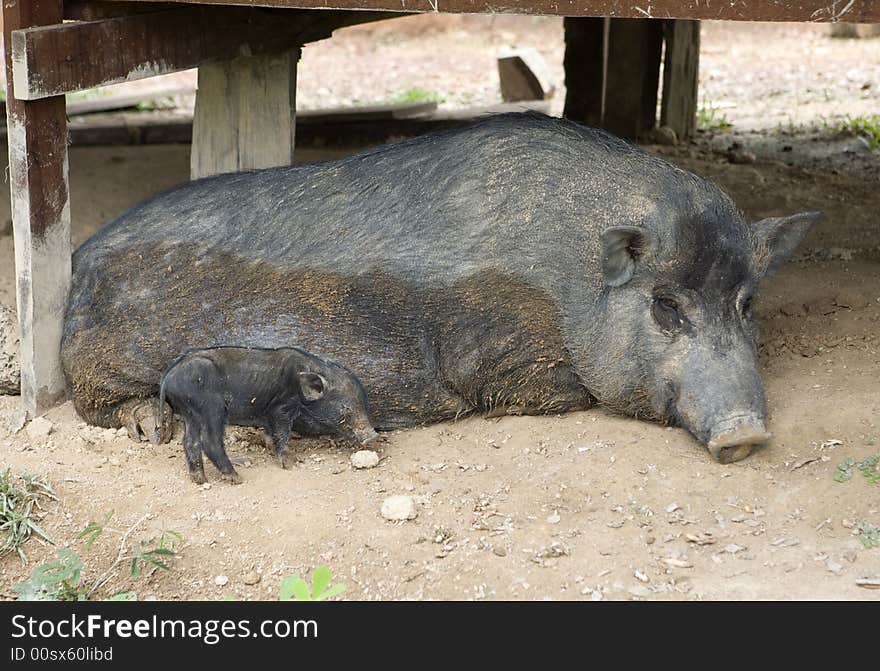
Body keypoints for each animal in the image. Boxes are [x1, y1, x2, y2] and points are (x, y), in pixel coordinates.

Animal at [63, 114, 820, 462]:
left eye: (747, 304)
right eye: (666, 306)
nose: (747, 434)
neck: (571, 285)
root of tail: (79, 256)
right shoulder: (495, 356)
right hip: (103, 360)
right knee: (97, 405)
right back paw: (151, 425)